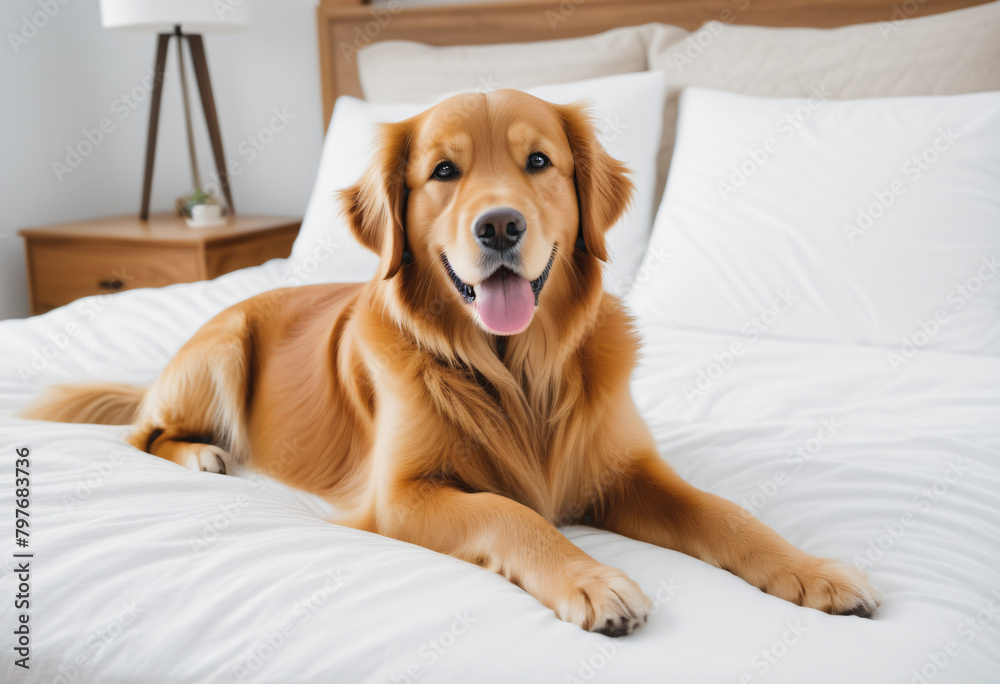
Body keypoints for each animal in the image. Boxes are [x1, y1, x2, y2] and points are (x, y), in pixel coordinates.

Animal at [27, 89, 880, 636]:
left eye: (538, 162)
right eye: (444, 172)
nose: (499, 226)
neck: (517, 371)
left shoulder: (625, 470)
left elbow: (728, 514)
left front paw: (814, 570)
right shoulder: (402, 496)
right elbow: (511, 513)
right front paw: (592, 579)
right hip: (224, 347)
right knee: (142, 433)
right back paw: (203, 453)